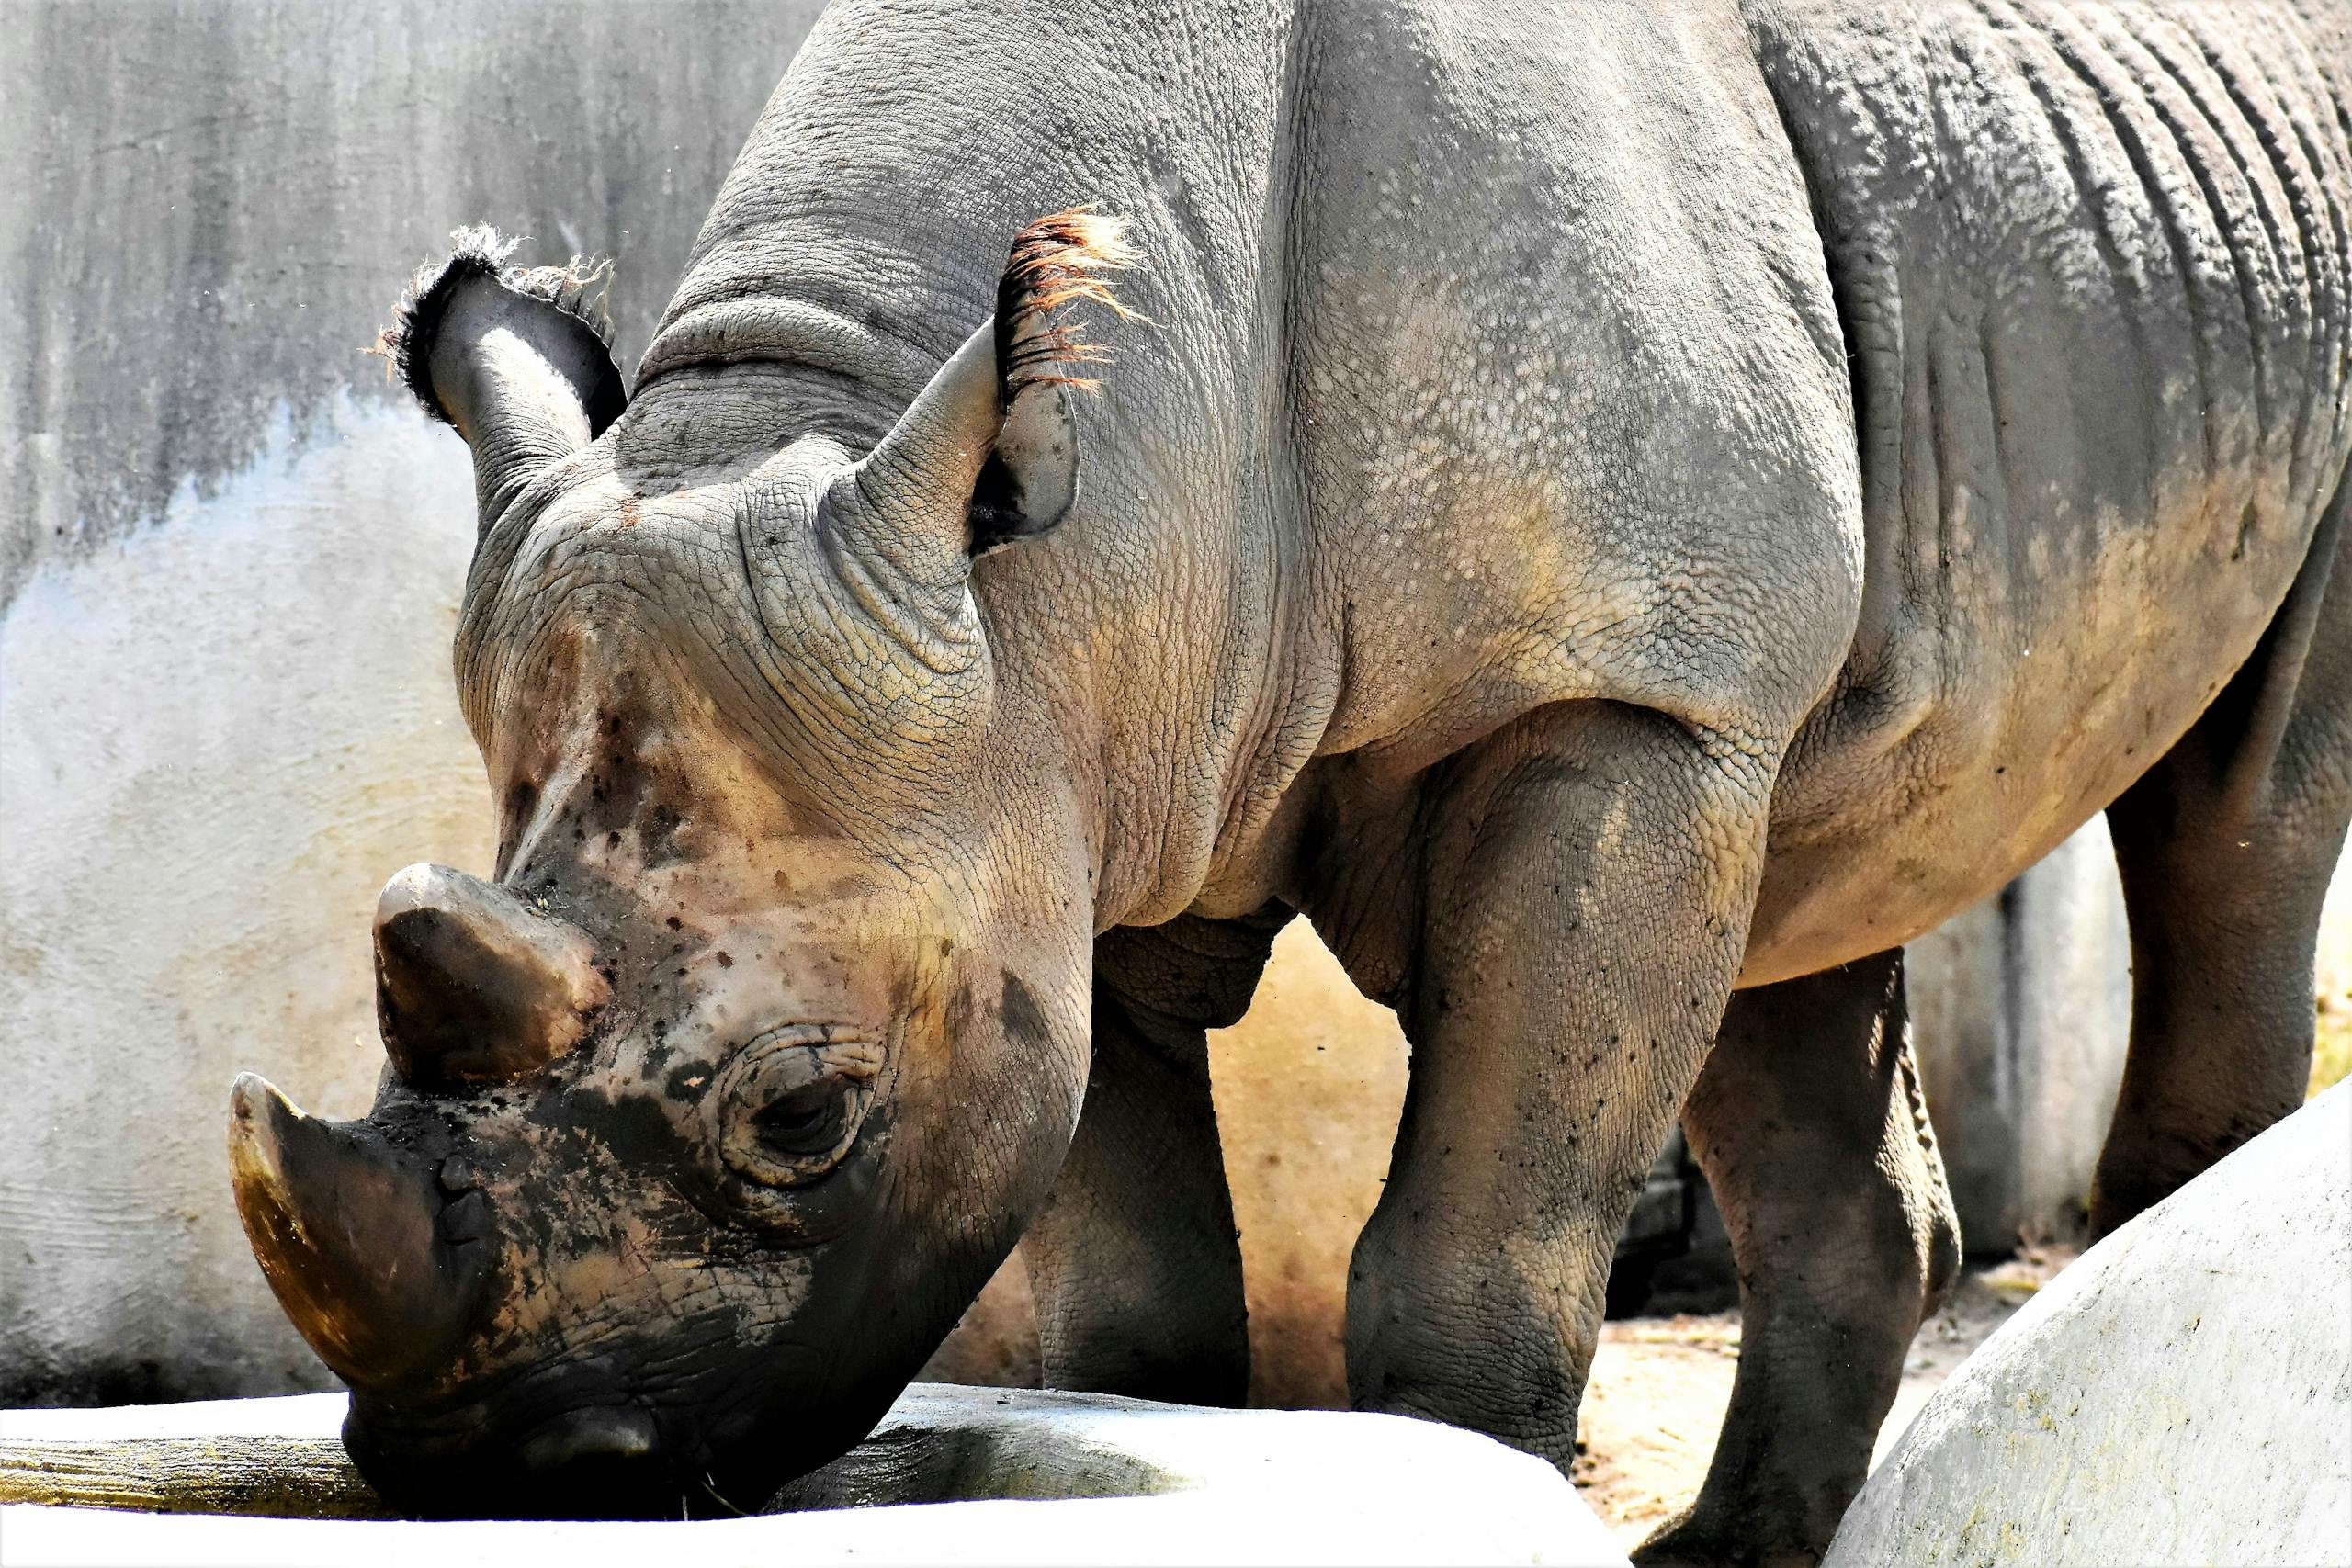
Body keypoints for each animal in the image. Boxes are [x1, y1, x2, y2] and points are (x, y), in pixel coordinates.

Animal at [227, 0, 2351, 1559]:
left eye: (803, 1116)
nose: (494, 1471)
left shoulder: (1608, 698)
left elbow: (1469, 1249)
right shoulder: (1064, 773)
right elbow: (1129, 1296)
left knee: (2237, 814)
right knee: (1811, 895)